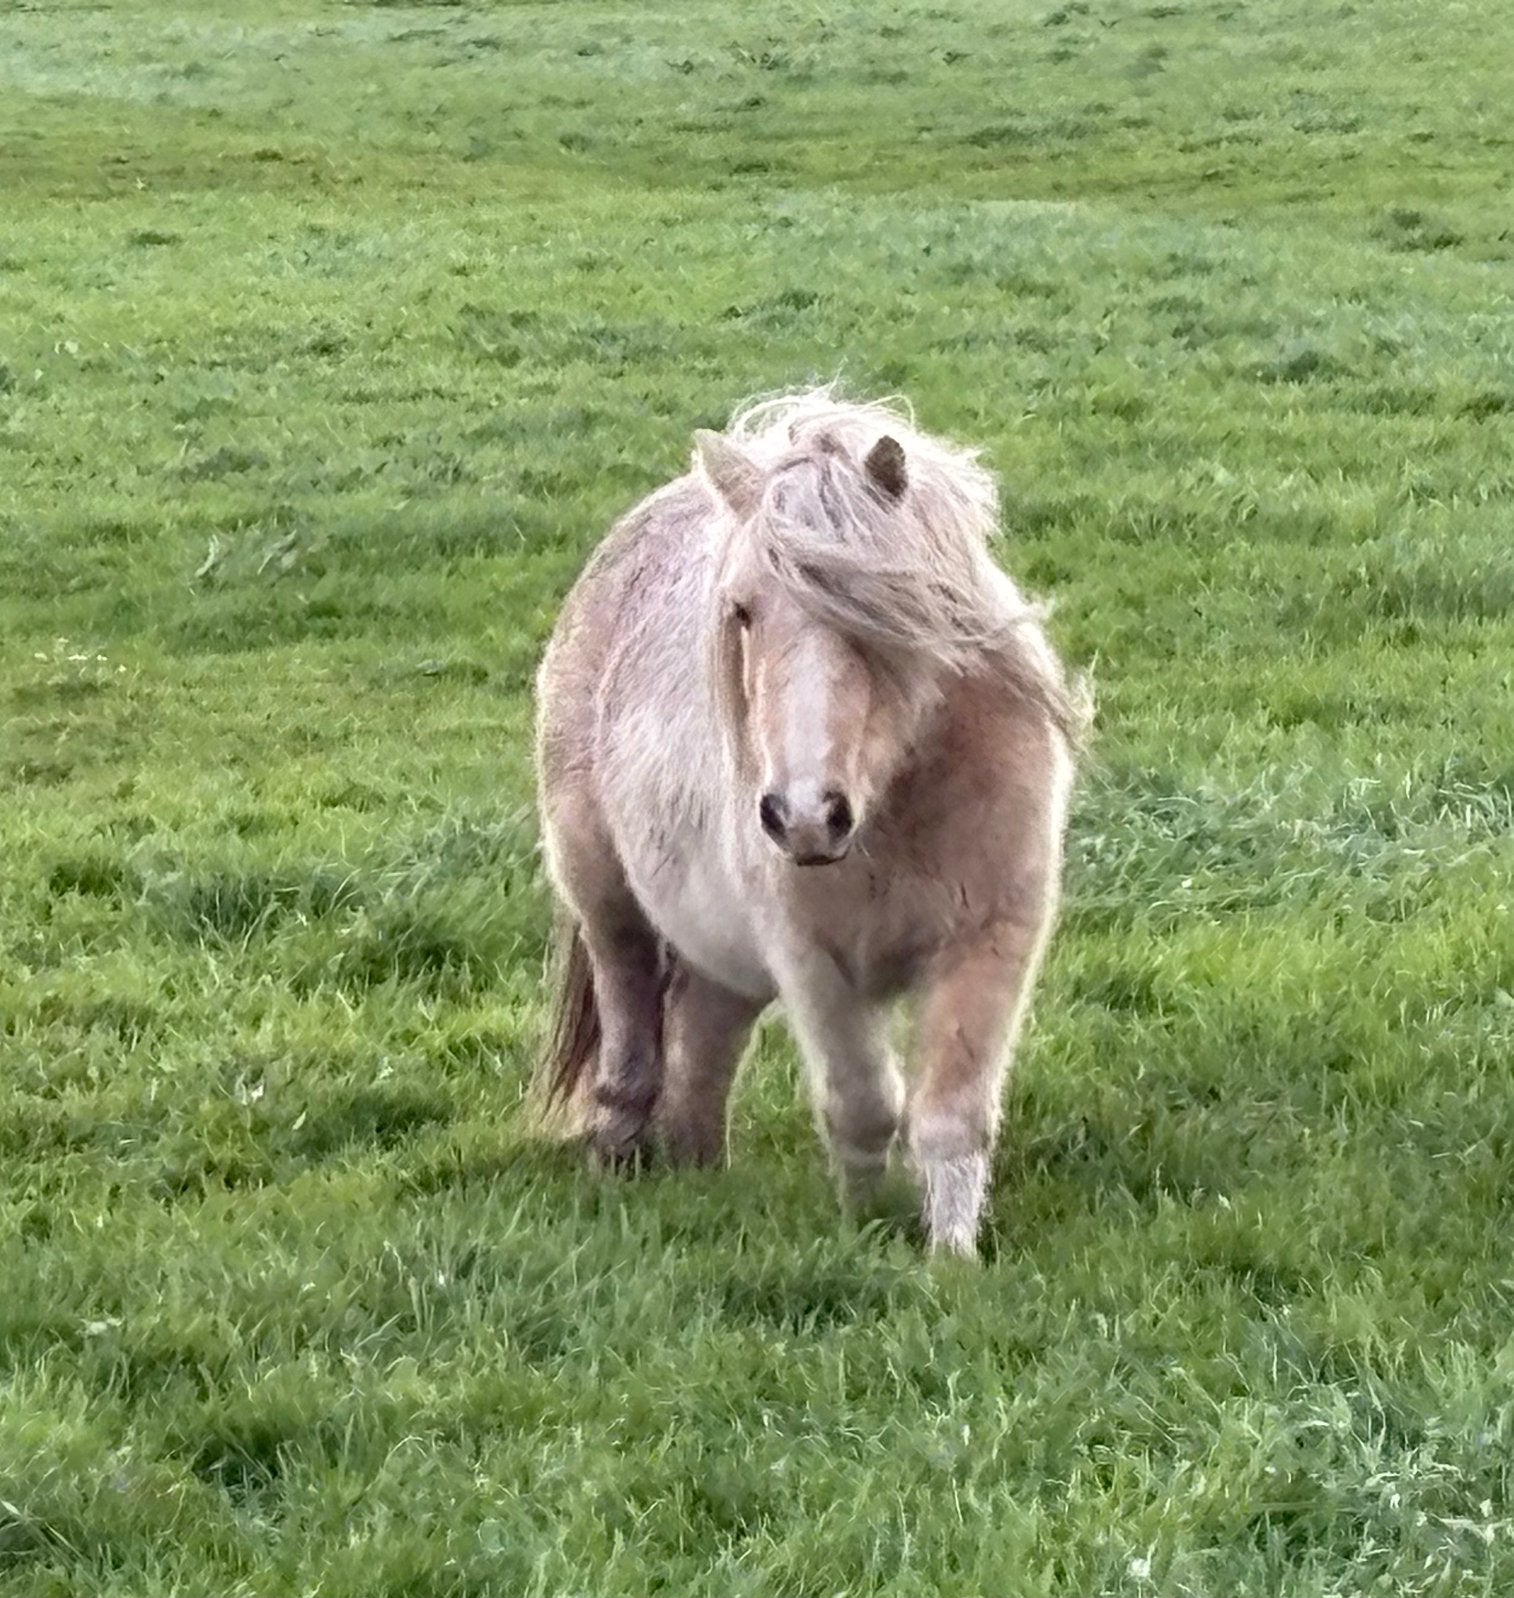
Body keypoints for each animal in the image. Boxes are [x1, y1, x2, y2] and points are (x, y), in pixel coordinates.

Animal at [533, 388, 1080, 1256]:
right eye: (743, 613)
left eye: (875, 615)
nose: (803, 816)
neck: (895, 813)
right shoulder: (812, 961)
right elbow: (862, 1106)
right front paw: (863, 1231)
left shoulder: (992, 939)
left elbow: (951, 1116)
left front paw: (951, 1259)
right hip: (605, 898)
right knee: (630, 1027)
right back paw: (618, 1159)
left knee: (703, 1045)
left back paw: (699, 1173)